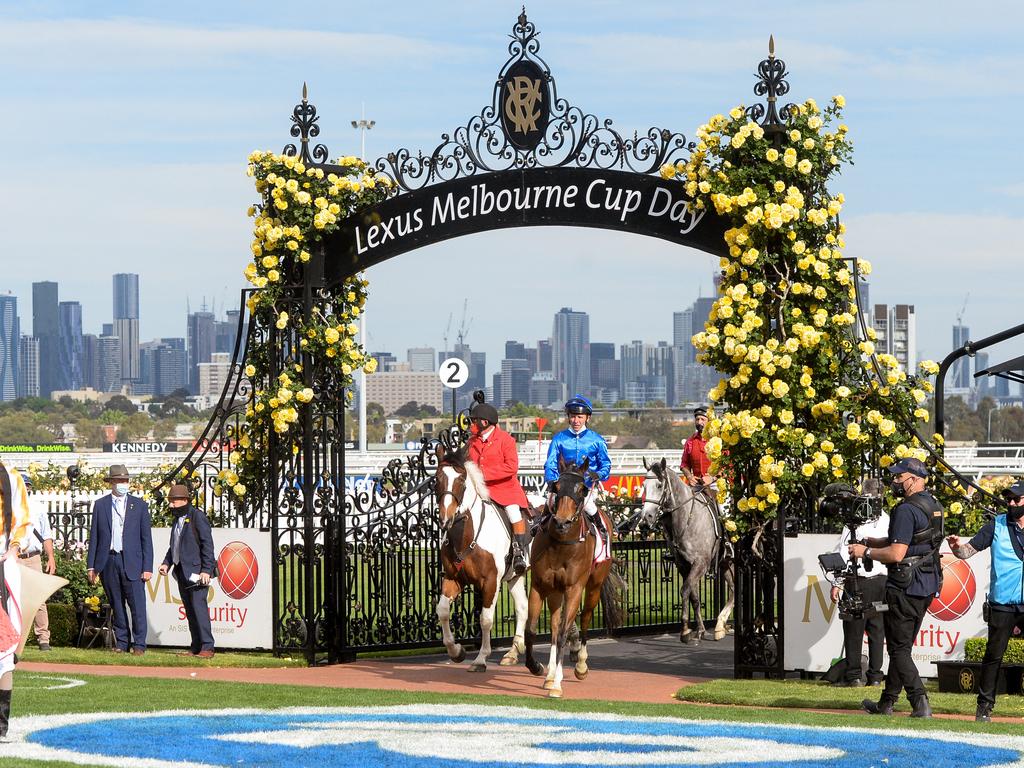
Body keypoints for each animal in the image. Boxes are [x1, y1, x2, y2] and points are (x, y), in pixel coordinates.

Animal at [432, 444, 528, 671]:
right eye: (437, 478)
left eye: (461, 479)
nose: (446, 518)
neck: (466, 535)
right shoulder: (453, 578)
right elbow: (443, 610)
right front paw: (456, 651)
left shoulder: (491, 582)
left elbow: (485, 619)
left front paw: (481, 658)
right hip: (516, 576)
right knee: (522, 608)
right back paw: (512, 652)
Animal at [524, 460, 626, 700]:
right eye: (556, 486)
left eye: (582, 490)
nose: (561, 522)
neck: (561, 544)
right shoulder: (539, 586)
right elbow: (531, 631)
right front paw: (537, 667)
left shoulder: (574, 589)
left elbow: (564, 633)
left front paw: (558, 685)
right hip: (554, 591)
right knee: (553, 625)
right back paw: (550, 675)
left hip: (593, 587)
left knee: (586, 618)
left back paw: (580, 666)